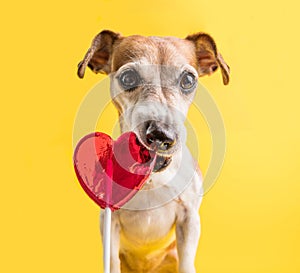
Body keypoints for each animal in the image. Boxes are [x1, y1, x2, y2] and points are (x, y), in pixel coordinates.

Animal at [77, 29, 230, 272]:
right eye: (128, 78)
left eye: (188, 80)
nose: (161, 134)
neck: (151, 178)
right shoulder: (109, 221)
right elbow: (112, 261)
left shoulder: (189, 219)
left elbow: (187, 263)